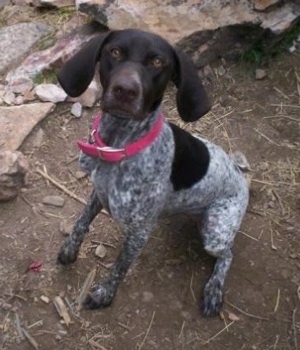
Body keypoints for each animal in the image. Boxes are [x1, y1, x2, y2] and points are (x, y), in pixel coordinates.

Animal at [56, 28, 248, 316]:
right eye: (115, 52)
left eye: (158, 62)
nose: (125, 90)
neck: (119, 144)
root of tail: (241, 176)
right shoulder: (97, 194)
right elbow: (81, 223)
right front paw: (69, 250)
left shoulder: (139, 232)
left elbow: (120, 266)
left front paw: (104, 294)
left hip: (216, 232)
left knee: (228, 254)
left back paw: (214, 289)